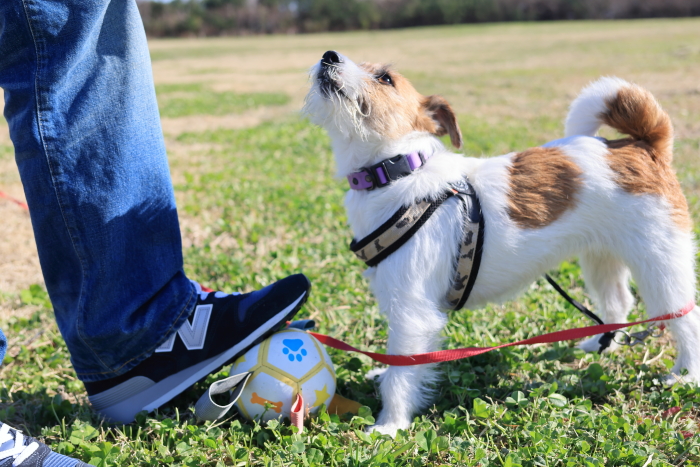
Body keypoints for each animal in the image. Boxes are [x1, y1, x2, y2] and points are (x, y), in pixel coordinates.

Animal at [304, 50, 698, 435]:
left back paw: (685, 375)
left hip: (660, 263)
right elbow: (396, 362)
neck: (400, 171)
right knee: (618, 301)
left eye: (385, 78)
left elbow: (403, 370)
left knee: (685, 317)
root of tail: (644, 144)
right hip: (601, 258)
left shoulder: (411, 311)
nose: (328, 55)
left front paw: (390, 425)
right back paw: (600, 344)